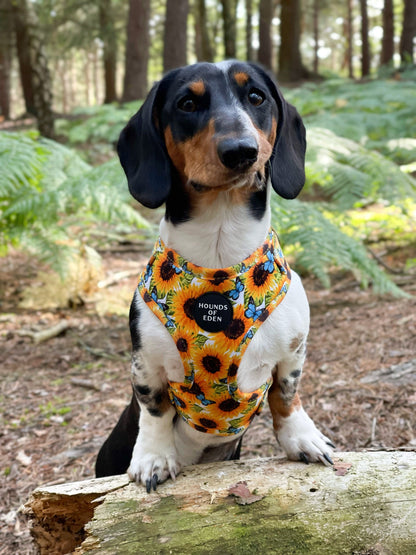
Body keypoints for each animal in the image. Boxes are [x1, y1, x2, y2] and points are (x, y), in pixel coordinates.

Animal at [95, 62, 334, 496]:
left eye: (256, 97)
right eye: (187, 103)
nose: (241, 150)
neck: (220, 252)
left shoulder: (293, 351)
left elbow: (286, 396)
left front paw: (302, 439)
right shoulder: (145, 363)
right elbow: (155, 408)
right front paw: (153, 458)